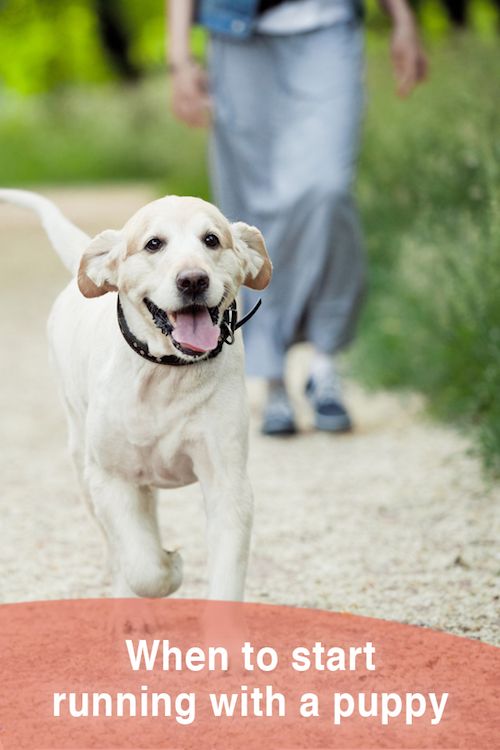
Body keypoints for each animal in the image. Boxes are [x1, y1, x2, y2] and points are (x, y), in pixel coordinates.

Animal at [0, 189, 272, 604]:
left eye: (211, 239)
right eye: (153, 244)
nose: (193, 280)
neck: (167, 375)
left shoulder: (228, 483)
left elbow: (224, 581)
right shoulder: (111, 479)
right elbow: (144, 569)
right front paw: (171, 566)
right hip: (83, 464)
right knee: (118, 553)